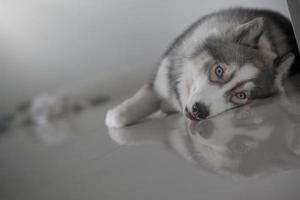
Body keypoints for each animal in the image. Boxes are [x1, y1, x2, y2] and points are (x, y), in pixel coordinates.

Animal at [104, 7, 298, 128]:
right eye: (219, 71)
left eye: (241, 96)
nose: (200, 111)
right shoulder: (163, 77)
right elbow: (142, 99)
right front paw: (115, 116)